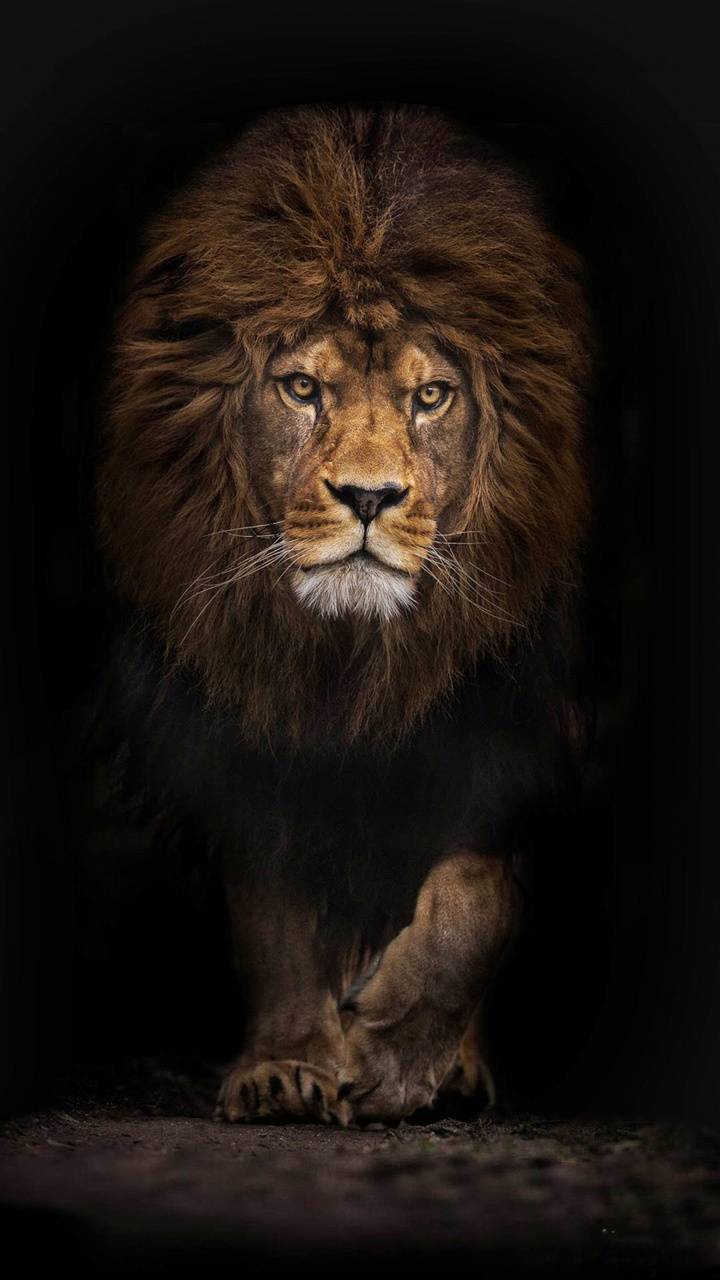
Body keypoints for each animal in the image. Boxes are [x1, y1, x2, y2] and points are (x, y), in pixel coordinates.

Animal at [96, 105, 591, 1125]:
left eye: (431, 395)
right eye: (301, 387)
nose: (369, 497)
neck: (348, 659)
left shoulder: (514, 719)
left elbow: (475, 894)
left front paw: (398, 1057)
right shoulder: (242, 724)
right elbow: (273, 912)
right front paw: (288, 1064)